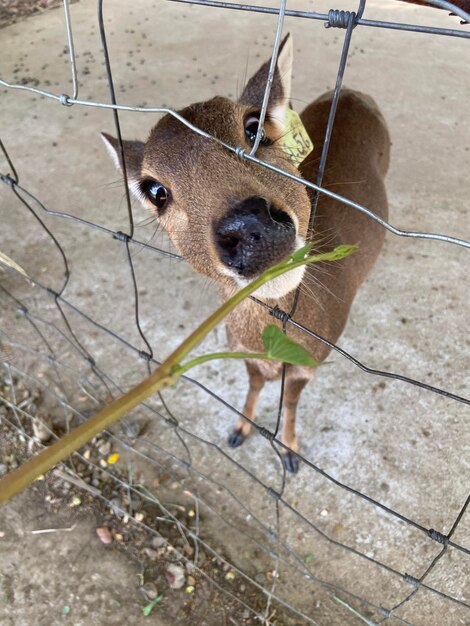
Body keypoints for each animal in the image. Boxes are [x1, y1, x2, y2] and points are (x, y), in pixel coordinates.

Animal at [104, 34, 392, 470]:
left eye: (254, 126)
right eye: (155, 190)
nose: (249, 226)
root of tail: (354, 92)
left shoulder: (311, 362)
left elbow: (289, 402)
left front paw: (290, 452)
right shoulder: (239, 350)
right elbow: (254, 384)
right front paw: (239, 430)